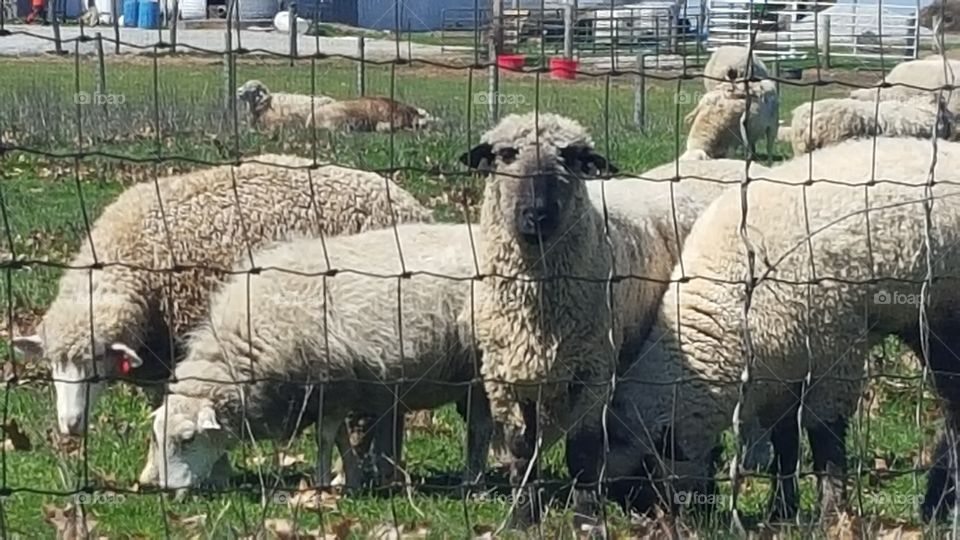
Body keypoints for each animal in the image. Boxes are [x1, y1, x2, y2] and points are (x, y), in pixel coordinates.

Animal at [142, 223, 493, 492]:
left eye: (188, 439)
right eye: (156, 437)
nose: (165, 490)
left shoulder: (331, 383)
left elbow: (325, 439)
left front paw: (324, 483)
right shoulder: (332, 393)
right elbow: (339, 438)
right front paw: (350, 479)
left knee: (482, 428)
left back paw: (472, 484)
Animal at [458, 112, 772, 530]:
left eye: (573, 159)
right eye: (505, 155)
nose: (538, 214)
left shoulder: (594, 369)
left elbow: (583, 451)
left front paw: (587, 520)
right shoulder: (504, 374)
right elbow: (521, 449)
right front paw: (521, 518)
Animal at [599, 136, 960, 523]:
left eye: (642, 470)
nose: (642, 517)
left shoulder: (832, 356)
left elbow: (825, 439)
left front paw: (831, 512)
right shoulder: (782, 370)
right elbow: (785, 443)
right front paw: (782, 509)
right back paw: (939, 503)